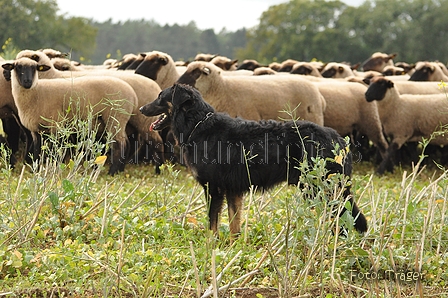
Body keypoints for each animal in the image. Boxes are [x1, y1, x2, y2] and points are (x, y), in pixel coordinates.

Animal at [2, 57, 137, 176]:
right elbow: (37, 150)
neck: (37, 92)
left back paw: (112, 172)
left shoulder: (56, 124)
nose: (27, 82)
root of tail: (132, 94)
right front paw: (36, 170)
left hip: (115, 117)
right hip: (118, 119)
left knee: (120, 144)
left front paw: (54, 168)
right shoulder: (36, 129)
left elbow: (56, 149)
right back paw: (120, 170)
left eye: (35, 68)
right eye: (18, 67)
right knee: (127, 142)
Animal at [141, 82, 368, 236]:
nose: (142, 109)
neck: (199, 126)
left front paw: (209, 247)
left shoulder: (214, 188)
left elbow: (212, 223)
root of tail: (338, 138)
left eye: (160, 97)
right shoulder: (232, 190)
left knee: (342, 218)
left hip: (321, 189)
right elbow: (234, 223)